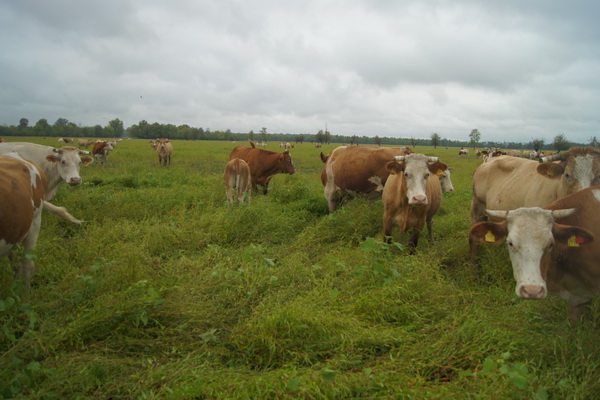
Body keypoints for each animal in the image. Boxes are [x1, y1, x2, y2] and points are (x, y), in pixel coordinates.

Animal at [0, 152, 83, 292]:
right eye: (63, 162)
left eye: (80, 162)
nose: (75, 180)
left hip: (34, 222)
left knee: (27, 264)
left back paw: (25, 295)